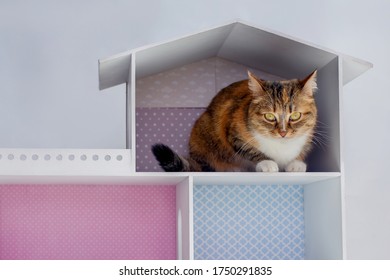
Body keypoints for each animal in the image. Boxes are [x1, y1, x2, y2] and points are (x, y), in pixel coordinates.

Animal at [151, 69, 318, 173]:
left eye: (295, 115)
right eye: (269, 116)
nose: (283, 133)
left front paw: (296, 163)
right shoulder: (233, 131)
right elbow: (249, 150)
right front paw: (267, 162)